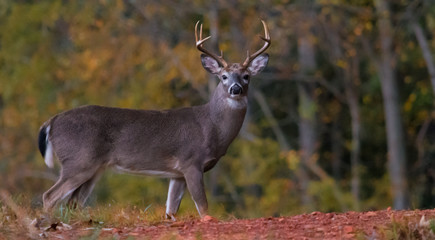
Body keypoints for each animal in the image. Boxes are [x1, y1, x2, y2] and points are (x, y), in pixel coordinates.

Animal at [38, 20, 270, 219]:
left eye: (246, 76)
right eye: (223, 76)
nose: (235, 89)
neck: (211, 127)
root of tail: (51, 122)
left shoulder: (177, 173)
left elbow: (170, 211)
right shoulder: (191, 161)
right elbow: (203, 208)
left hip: (94, 168)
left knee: (73, 202)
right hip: (79, 160)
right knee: (49, 196)